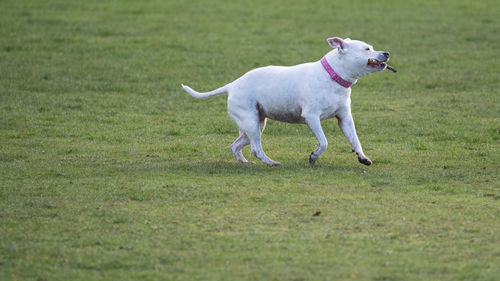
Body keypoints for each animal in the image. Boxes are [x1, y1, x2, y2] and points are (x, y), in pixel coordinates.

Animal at [181, 37, 394, 164]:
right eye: (367, 48)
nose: (387, 53)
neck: (333, 77)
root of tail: (232, 85)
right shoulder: (312, 117)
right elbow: (324, 142)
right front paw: (314, 156)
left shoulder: (344, 118)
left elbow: (355, 139)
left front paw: (363, 157)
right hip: (251, 122)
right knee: (256, 148)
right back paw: (270, 163)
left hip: (256, 124)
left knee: (235, 145)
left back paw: (244, 162)